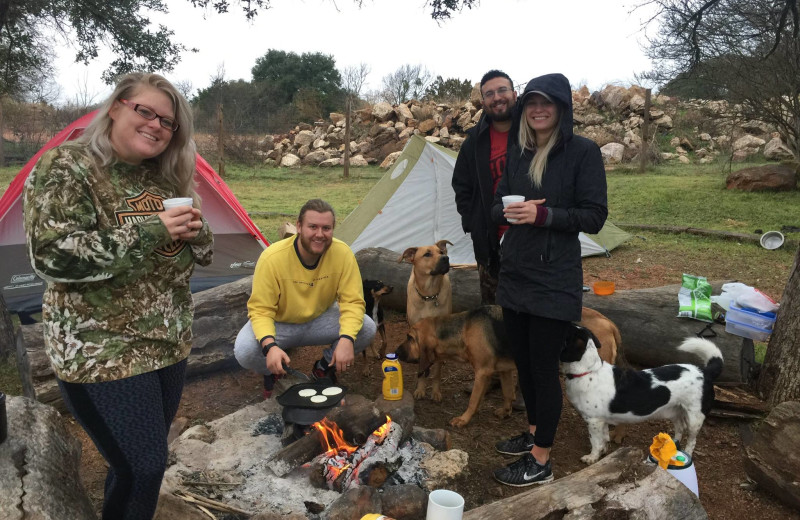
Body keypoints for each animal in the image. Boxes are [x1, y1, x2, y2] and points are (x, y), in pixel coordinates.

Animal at [394, 302, 624, 428]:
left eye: (409, 338)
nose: (395, 352)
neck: (463, 328)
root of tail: (610, 323)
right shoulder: (504, 369)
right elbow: (506, 393)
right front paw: (505, 412)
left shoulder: (482, 373)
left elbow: (473, 400)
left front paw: (464, 419)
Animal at [560, 324, 720, 464]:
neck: (588, 371)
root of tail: (705, 372)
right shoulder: (602, 421)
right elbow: (604, 438)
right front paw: (603, 452)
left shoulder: (594, 421)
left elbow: (595, 441)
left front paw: (592, 457)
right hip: (675, 411)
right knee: (680, 428)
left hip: (695, 419)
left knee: (692, 440)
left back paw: (686, 453)